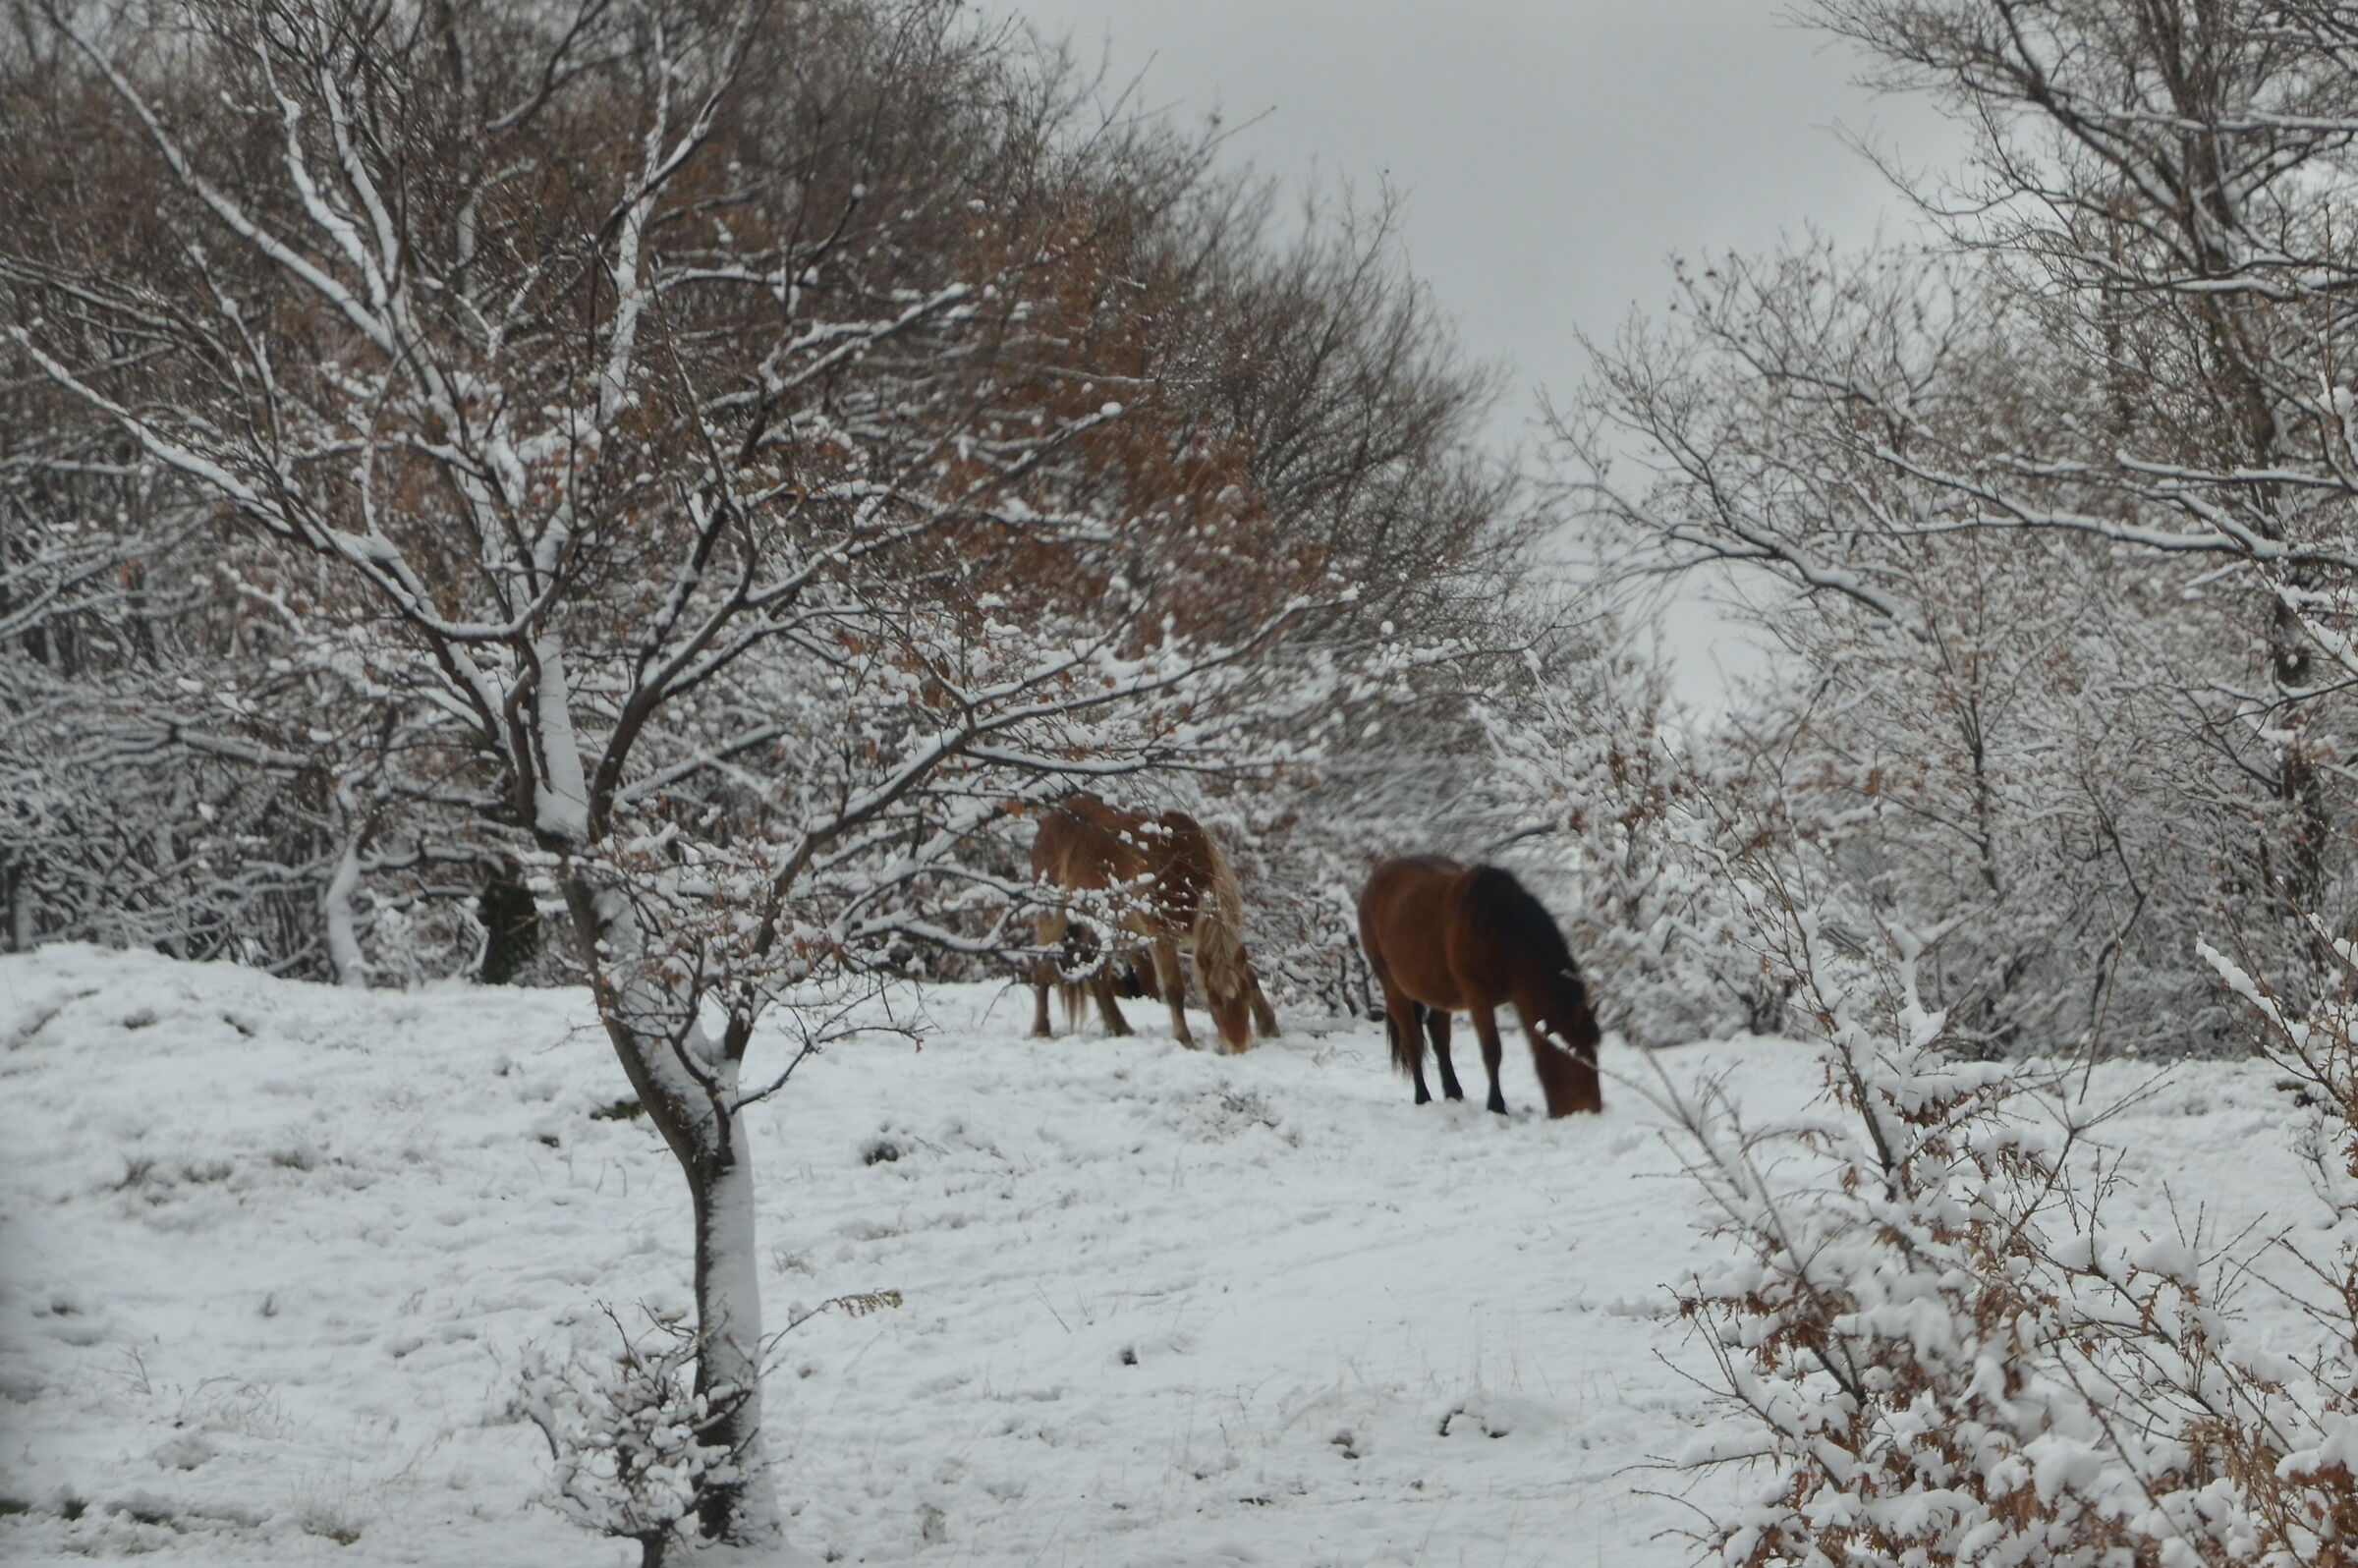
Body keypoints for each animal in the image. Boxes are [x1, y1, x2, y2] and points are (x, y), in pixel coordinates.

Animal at [1028, 793, 1279, 1053]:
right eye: (1213, 999)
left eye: (1244, 995)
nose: (1238, 1047)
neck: (1184, 872)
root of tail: (1054, 816)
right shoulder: (1161, 938)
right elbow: (1174, 989)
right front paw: (1183, 1039)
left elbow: (1251, 976)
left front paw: (1269, 1027)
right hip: (1052, 913)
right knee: (1043, 969)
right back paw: (1042, 1030)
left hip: (1106, 926)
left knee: (1098, 976)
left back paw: (1119, 1027)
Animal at [1355, 855, 1603, 1116]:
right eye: (1574, 1056)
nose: (1592, 1110)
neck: (1499, 933)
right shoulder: (1478, 998)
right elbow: (1492, 1050)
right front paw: (1496, 1105)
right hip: (1392, 986)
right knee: (1412, 1040)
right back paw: (1422, 1097)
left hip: (1440, 990)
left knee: (1438, 1034)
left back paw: (1454, 1092)